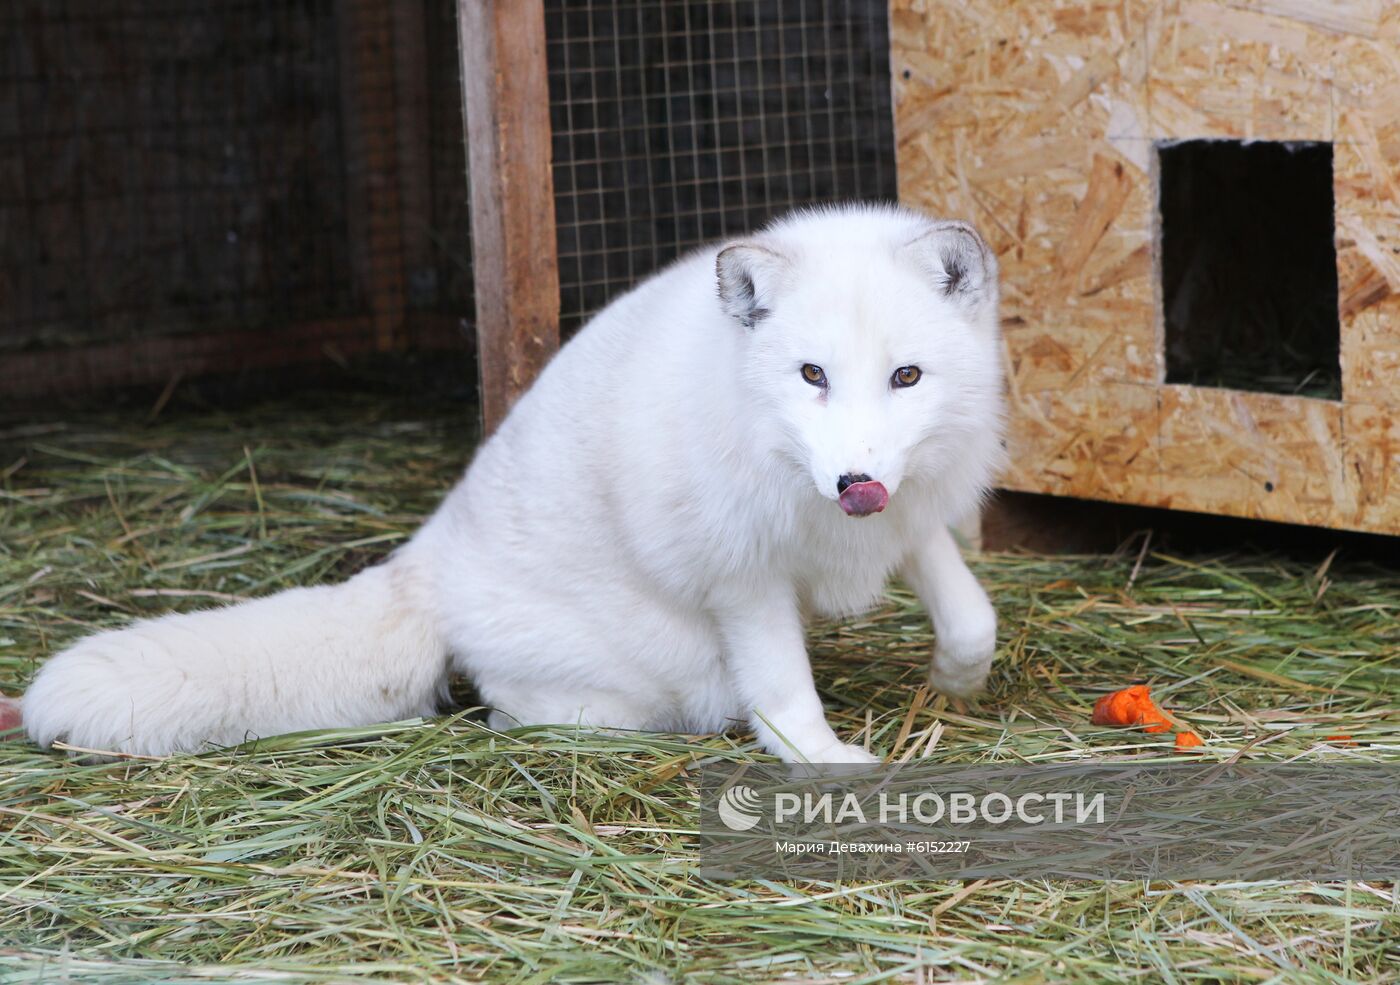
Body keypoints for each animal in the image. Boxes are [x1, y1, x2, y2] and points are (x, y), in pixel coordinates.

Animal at [19, 205, 1008, 761]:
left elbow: (971, 612)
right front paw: (829, 765)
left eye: (907, 376)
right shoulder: (743, 578)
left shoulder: (910, 512)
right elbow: (782, 690)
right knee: (523, 705)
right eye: (811, 375)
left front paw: (954, 678)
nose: (854, 480)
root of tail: (426, 559)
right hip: (673, 667)